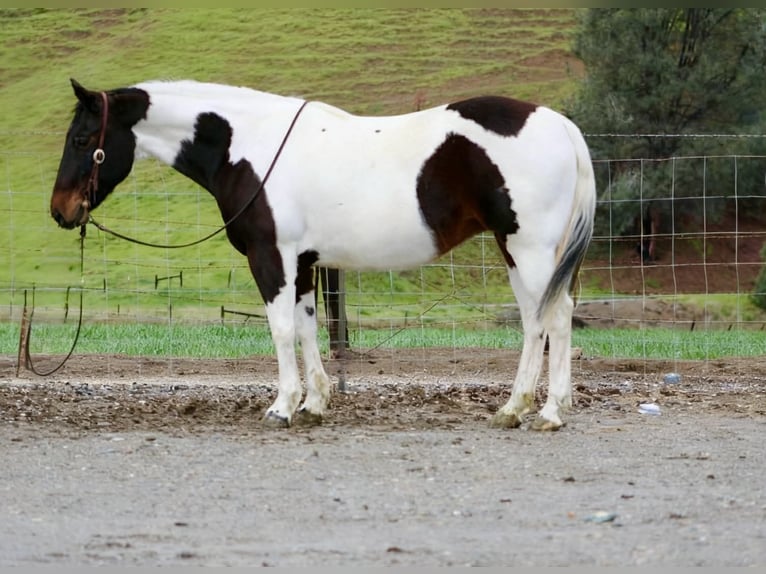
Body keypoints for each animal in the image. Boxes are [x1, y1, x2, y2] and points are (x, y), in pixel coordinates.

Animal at [50, 78, 596, 431]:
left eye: (82, 139)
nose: (60, 211)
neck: (249, 145)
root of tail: (561, 125)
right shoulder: (305, 263)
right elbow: (307, 326)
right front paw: (314, 403)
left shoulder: (271, 256)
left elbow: (280, 328)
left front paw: (282, 407)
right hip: (516, 250)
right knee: (537, 320)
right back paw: (517, 409)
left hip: (530, 249)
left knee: (554, 318)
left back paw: (547, 414)